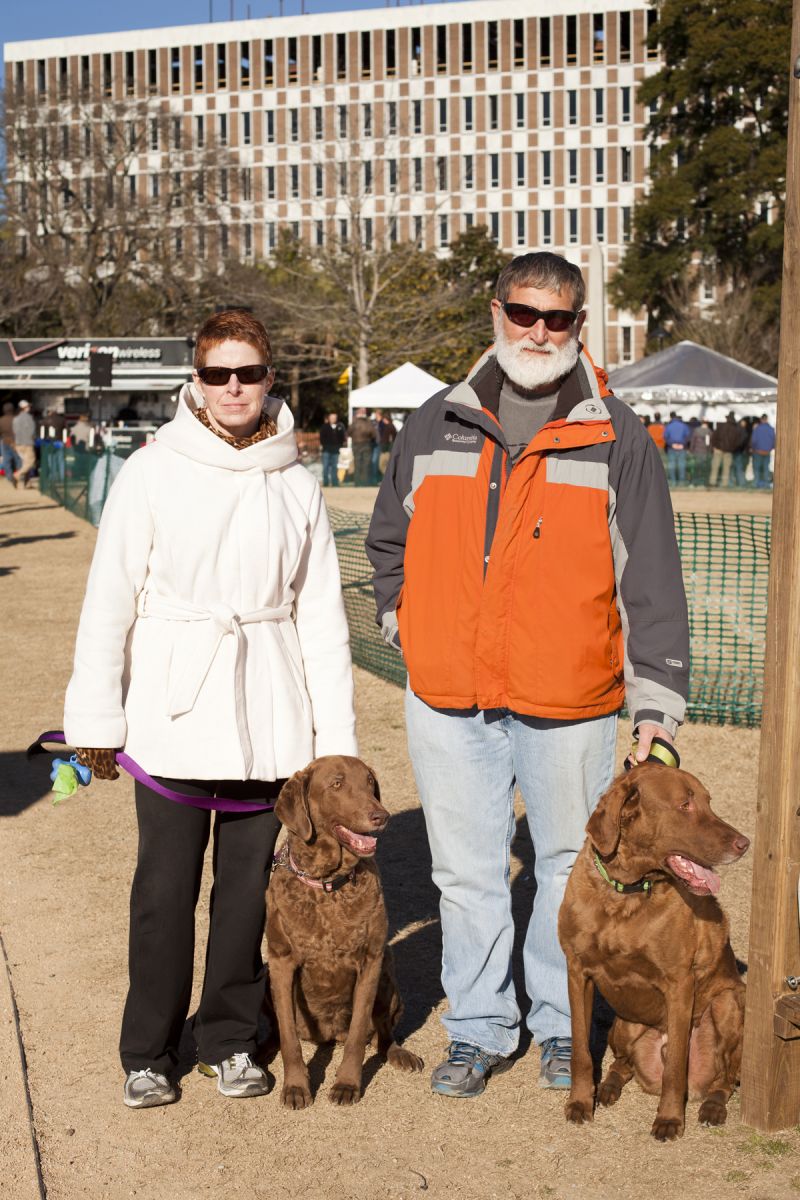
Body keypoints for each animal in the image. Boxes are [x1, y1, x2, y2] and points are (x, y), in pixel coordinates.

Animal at [263, 753, 424, 1108]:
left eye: (369, 782)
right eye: (336, 784)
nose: (381, 815)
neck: (327, 887)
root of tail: (329, 1034)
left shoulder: (370, 961)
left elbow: (358, 1034)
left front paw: (348, 1084)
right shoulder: (281, 962)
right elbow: (289, 1039)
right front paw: (296, 1087)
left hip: (388, 976)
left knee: (382, 1035)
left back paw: (400, 1054)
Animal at [556, 763, 753, 1137]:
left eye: (708, 802)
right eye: (685, 805)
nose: (745, 843)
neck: (625, 894)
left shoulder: (679, 984)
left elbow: (676, 1065)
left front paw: (670, 1119)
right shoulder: (577, 972)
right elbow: (580, 1050)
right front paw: (580, 1102)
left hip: (729, 1004)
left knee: (726, 1076)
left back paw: (712, 1107)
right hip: (624, 1025)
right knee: (622, 1064)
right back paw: (607, 1088)